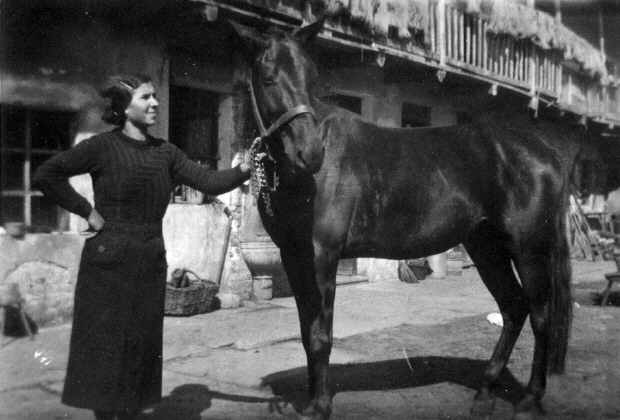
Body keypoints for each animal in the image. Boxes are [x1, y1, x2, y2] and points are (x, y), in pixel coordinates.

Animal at [230, 18, 584, 418]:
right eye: (268, 78)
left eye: (311, 75)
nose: (311, 153)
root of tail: (546, 152)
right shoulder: (293, 255)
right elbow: (307, 331)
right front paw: (308, 401)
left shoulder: (323, 254)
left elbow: (321, 333)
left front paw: (320, 405)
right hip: (486, 247)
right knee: (513, 308)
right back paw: (484, 393)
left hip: (529, 249)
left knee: (541, 314)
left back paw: (530, 397)